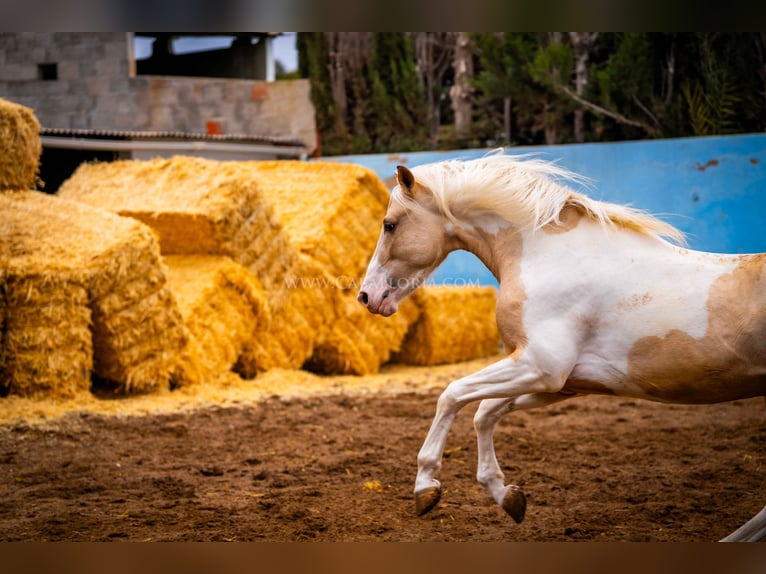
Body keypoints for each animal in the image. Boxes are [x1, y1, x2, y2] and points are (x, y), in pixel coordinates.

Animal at [358, 151, 766, 544]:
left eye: (389, 224)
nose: (366, 296)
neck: (550, 256)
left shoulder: (540, 367)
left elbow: (452, 395)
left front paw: (425, 488)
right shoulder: (565, 383)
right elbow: (485, 413)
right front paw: (507, 495)